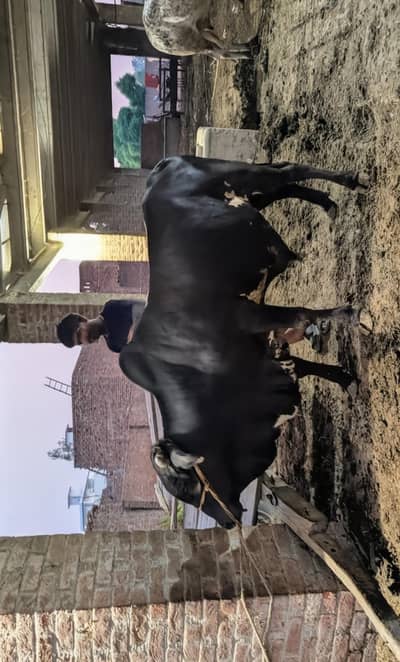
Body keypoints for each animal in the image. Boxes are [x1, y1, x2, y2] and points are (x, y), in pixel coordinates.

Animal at [119, 156, 368, 527]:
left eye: (186, 487)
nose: (226, 523)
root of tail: (164, 164)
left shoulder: (253, 316)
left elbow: (303, 313)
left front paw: (353, 315)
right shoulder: (267, 356)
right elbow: (304, 364)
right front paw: (345, 378)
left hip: (240, 174)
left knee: (288, 171)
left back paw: (348, 182)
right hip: (252, 198)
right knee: (284, 181)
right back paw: (328, 204)